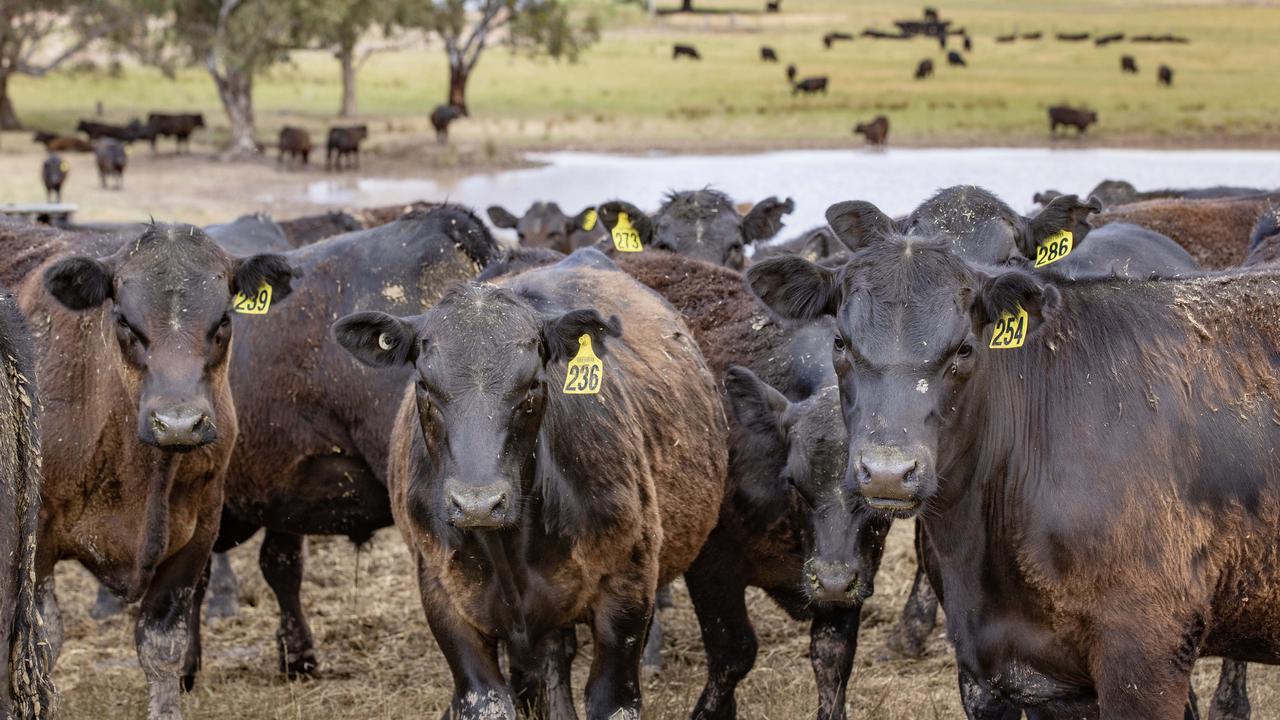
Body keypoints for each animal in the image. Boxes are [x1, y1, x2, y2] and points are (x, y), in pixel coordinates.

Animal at [1, 219, 294, 717]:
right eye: (124, 320)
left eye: (224, 320)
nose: (178, 422)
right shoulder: (36, 537)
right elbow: (43, 643)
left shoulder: (198, 532)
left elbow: (162, 645)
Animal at [332, 248, 732, 717]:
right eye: (424, 385)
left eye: (531, 386)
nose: (478, 504)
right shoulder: (442, 597)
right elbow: (488, 696)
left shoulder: (628, 587)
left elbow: (611, 697)